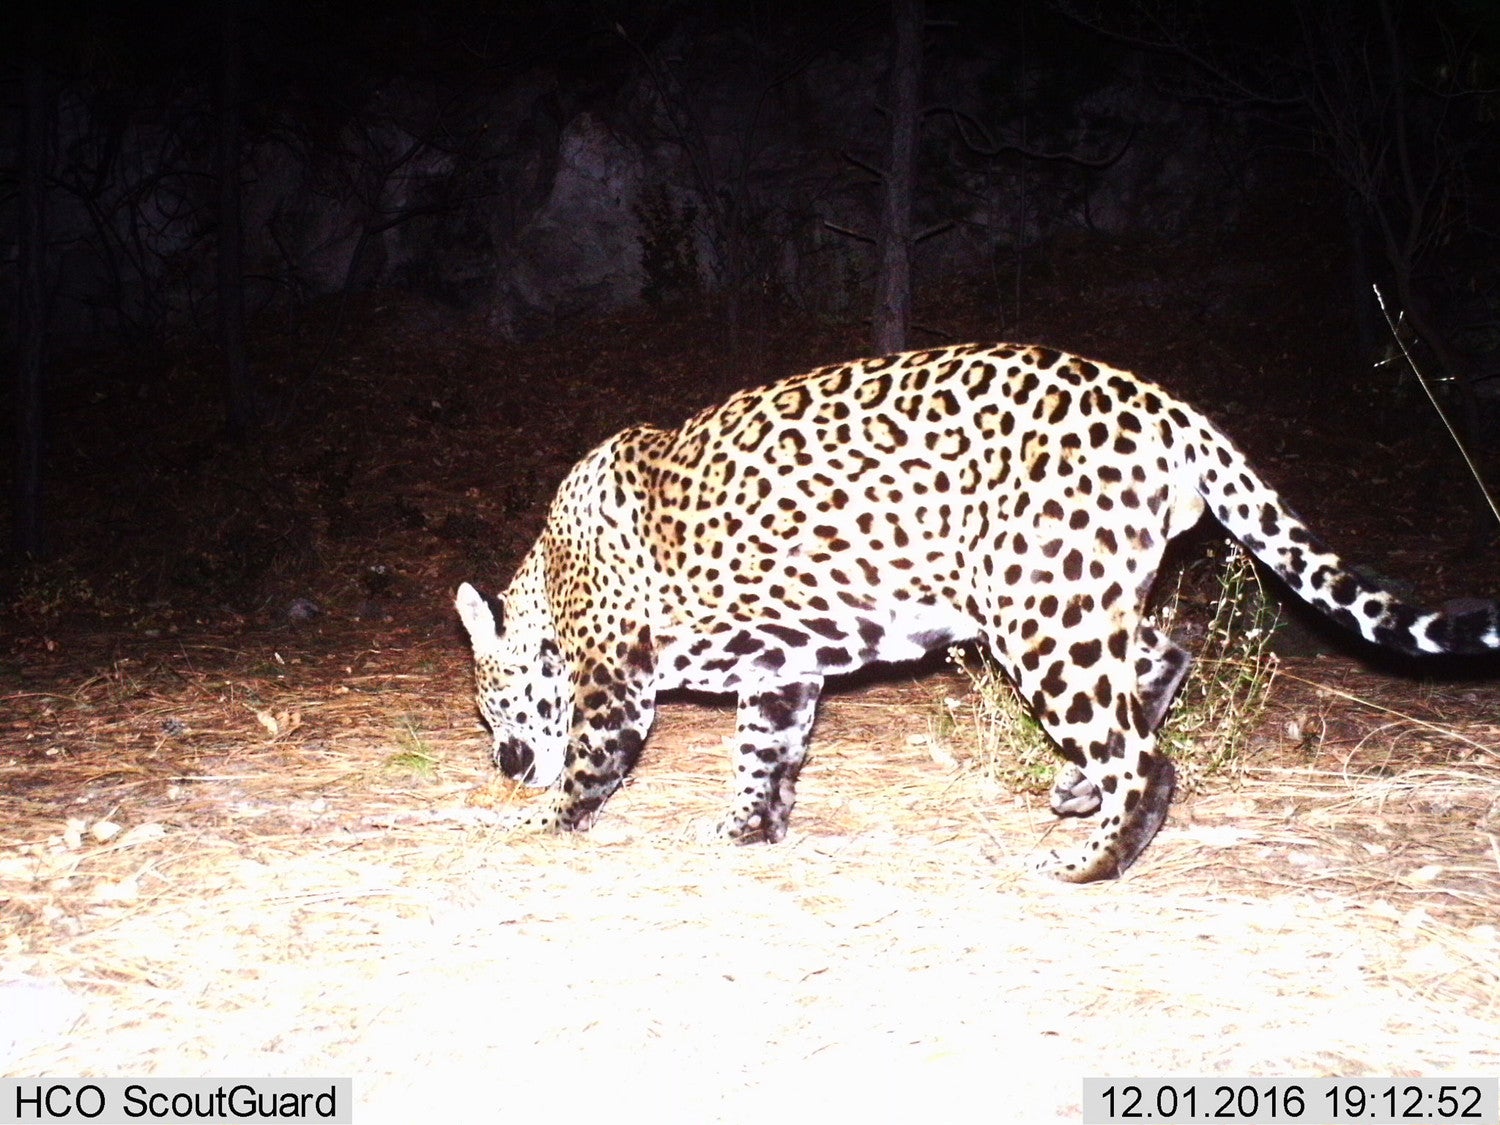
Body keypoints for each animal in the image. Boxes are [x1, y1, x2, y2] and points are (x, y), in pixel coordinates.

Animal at [455, 343, 1500, 882]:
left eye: (495, 705)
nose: (503, 762)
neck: (549, 576)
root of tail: (1165, 405)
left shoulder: (614, 677)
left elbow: (593, 760)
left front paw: (541, 818)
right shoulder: (783, 669)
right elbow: (764, 751)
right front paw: (748, 829)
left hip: (1042, 613)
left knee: (1145, 756)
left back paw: (1088, 861)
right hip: (1080, 594)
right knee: (1167, 652)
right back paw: (1078, 792)